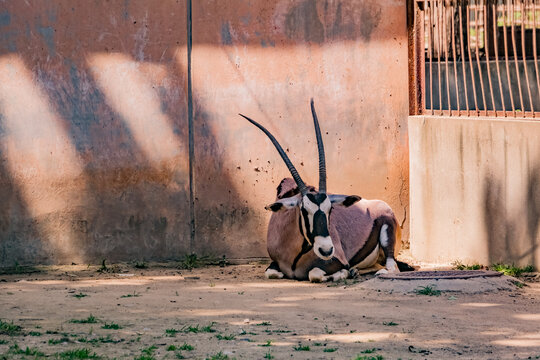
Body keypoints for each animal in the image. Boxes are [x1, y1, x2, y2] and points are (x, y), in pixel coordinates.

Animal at [239, 100, 410, 282]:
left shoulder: (338, 261)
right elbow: (271, 273)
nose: (326, 250)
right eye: (303, 210)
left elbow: (314, 274)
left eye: (331, 209)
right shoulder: (273, 263)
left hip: (387, 236)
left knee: (392, 267)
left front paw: (344, 273)